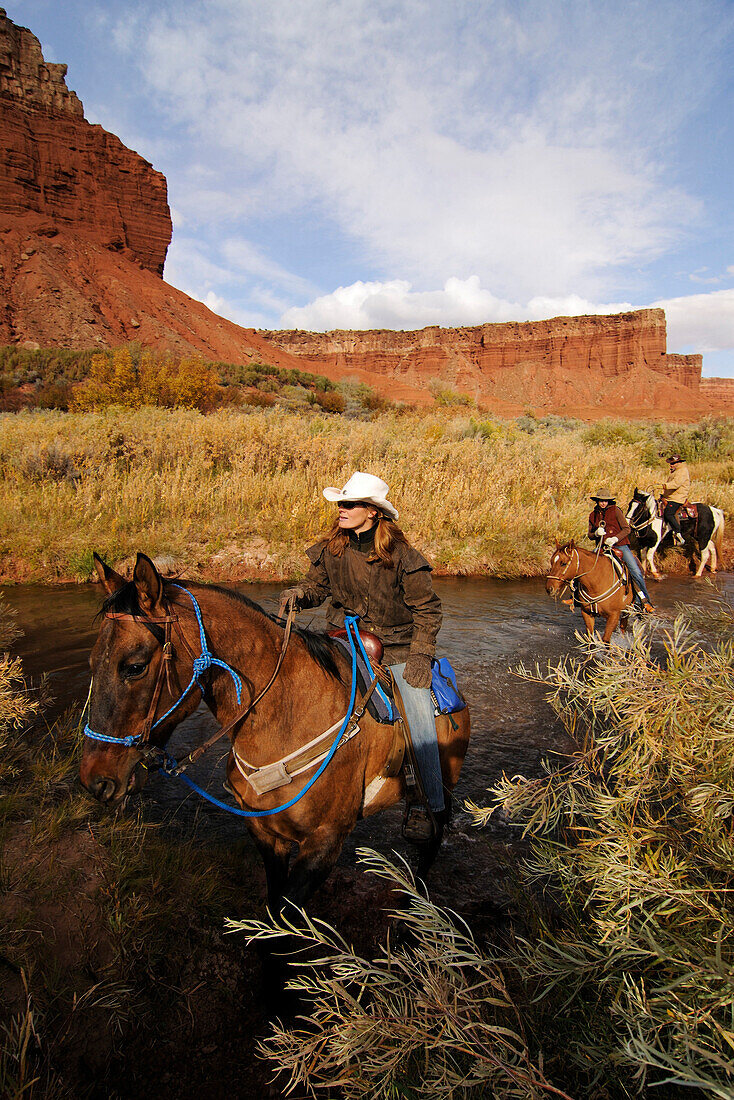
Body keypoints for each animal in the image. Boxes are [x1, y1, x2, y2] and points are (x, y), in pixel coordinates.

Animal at [79, 558, 470, 910]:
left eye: (134, 666)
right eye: (92, 662)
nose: (95, 780)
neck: (287, 717)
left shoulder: (324, 842)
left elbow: (286, 916)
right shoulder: (267, 834)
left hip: (442, 784)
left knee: (431, 837)